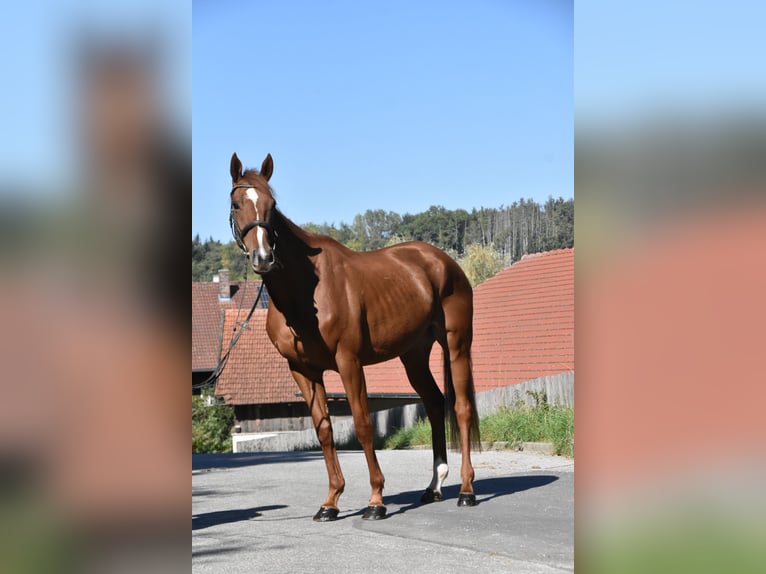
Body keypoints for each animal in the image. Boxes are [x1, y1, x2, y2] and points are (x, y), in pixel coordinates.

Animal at [228, 152, 480, 521]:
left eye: (272, 206)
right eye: (236, 205)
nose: (264, 258)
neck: (306, 291)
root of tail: (444, 262)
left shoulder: (349, 362)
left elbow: (362, 425)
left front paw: (375, 500)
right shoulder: (302, 370)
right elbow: (324, 430)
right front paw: (330, 502)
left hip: (456, 344)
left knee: (461, 408)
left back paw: (466, 490)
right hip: (414, 355)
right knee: (435, 403)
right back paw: (434, 486)